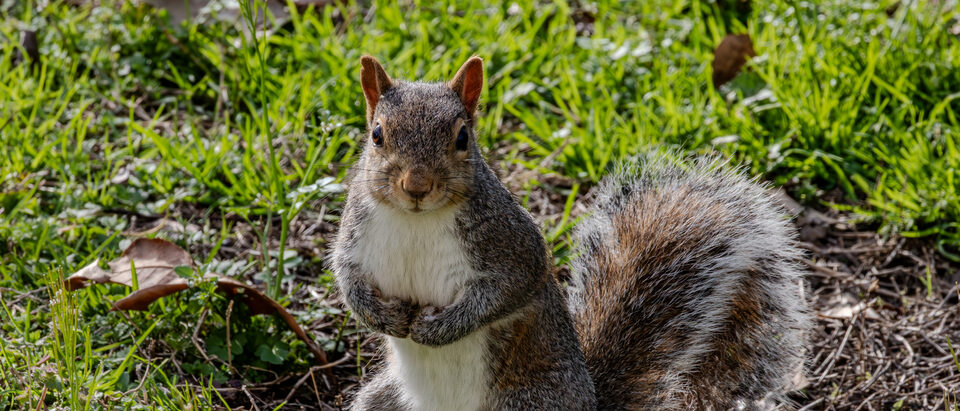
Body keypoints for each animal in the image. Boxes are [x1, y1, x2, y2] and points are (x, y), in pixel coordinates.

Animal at [330, 55, 808, 410]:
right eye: (377, 135)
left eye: (462, 138)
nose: (416, 186)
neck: (416, 220)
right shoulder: (355, 233)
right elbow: (347, 277)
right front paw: (378, 315)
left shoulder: (513, 247)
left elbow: (508, 291)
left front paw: (441, 329)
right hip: (383, 400)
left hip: (527, 401)